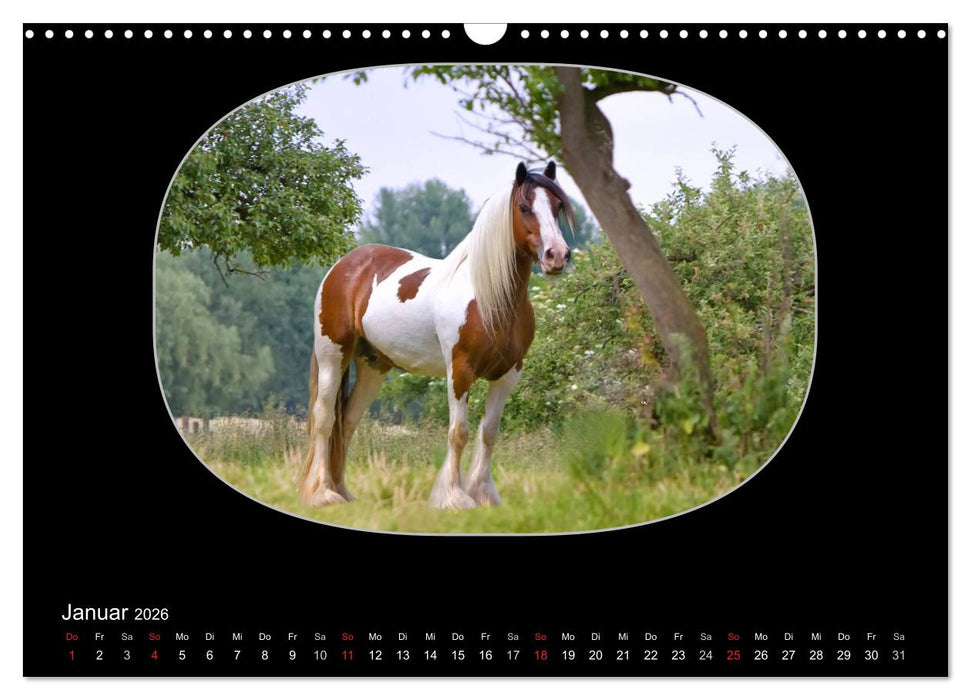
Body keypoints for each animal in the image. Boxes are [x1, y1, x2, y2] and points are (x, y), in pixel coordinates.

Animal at [299, 161, 574, 510]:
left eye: (557, 206)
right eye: (525, 207)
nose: (557, 255)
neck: (490, 298)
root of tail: (343, 266)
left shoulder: (508, 375)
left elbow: (489, 433)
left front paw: (483, 494)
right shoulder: (460, 371)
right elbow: (459, 432)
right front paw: (454, 497)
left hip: (373, 366)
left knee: (347, 421)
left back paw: (344, 492)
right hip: (332, 355)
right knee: (324, 419)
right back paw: (323, 493)